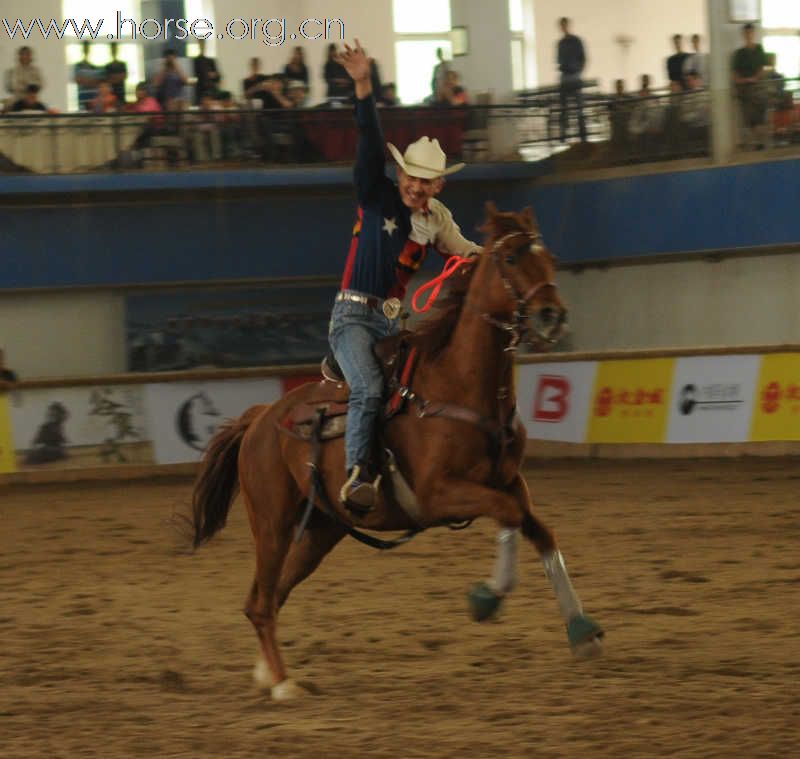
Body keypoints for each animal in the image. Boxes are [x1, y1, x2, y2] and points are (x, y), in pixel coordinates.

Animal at [191, 203, 604, 700]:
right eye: (510, 259)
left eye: (550, 258)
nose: (550, 316)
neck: (459, 384)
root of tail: (260, 418)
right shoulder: (438, 493)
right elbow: (507, 516)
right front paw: (486, 598)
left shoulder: (510, 482)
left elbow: (539, 531)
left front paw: (581, 631)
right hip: (272, 522)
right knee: (262, 598)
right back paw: (285, 683)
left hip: (322, 530)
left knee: (269, 597)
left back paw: (268, 674)